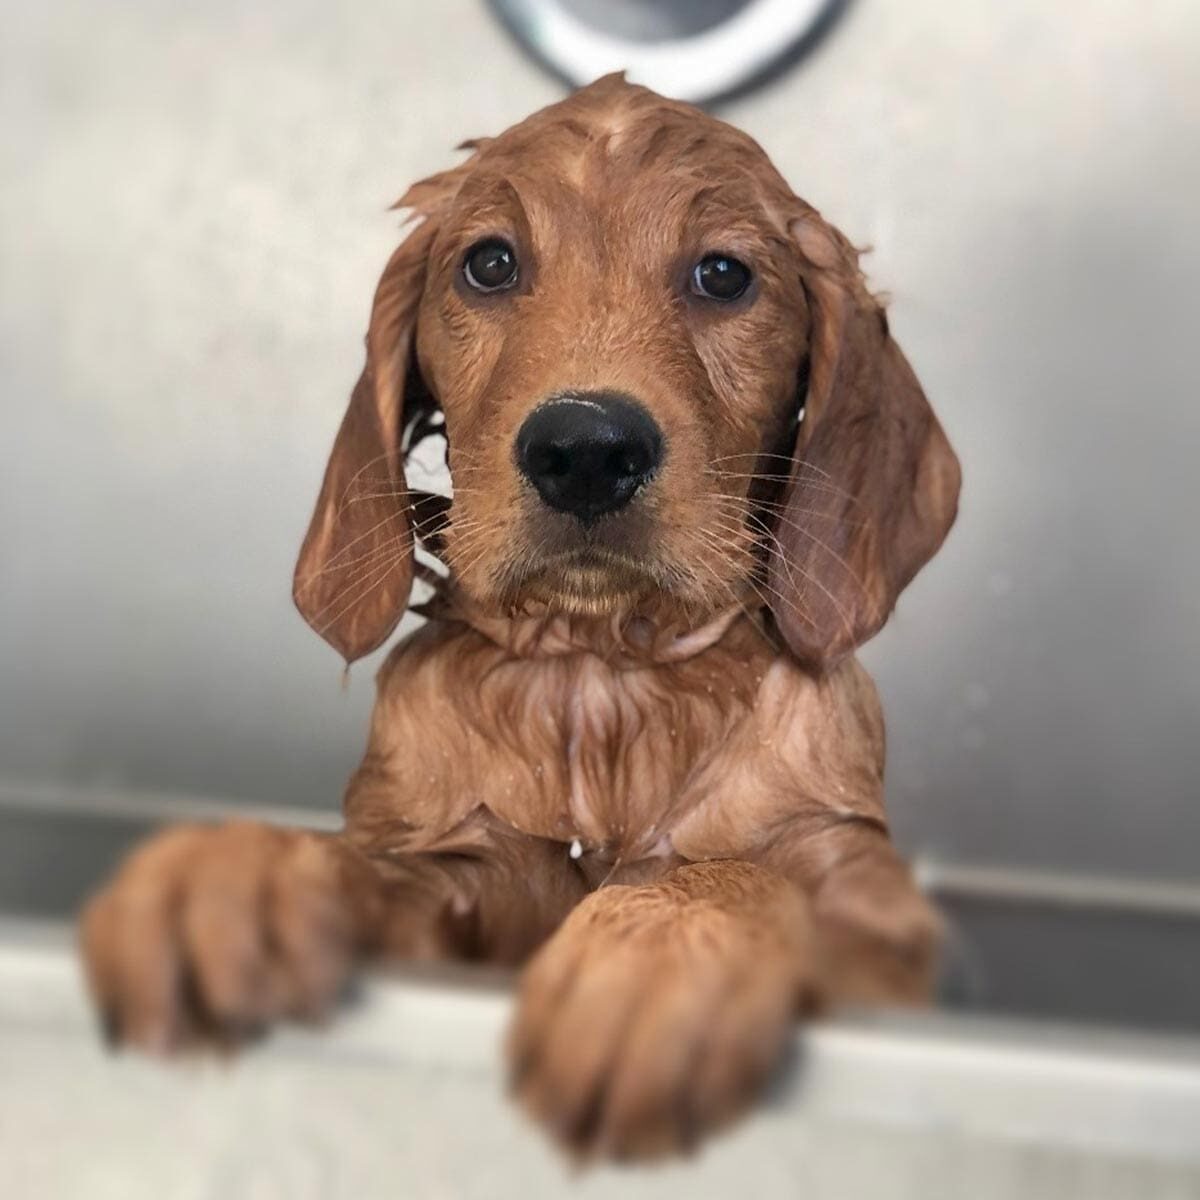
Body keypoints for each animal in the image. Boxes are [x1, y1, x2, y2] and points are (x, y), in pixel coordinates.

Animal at [79, 77, 960, 1161]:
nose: (584, 450)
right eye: (490, 264)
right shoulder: (473, 871)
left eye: (723, 274)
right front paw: (240, 867)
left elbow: (753, 876)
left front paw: (656, 951)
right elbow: (388, 869)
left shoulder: (875, 908)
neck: (598, 679)